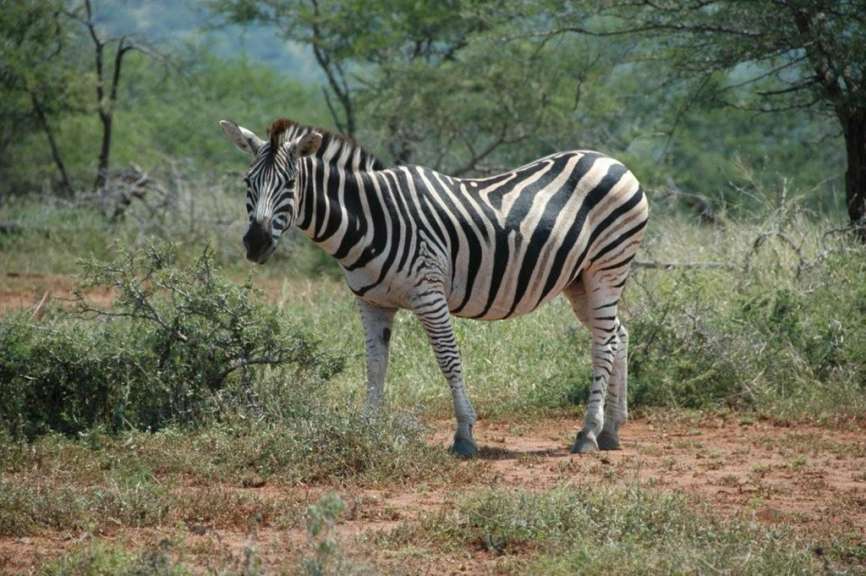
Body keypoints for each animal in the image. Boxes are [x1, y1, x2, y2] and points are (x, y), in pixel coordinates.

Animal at [219, 117, 649, 457]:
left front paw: (464, 435)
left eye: (290, 183)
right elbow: (375, 365)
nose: (255, 243)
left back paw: (588, 433)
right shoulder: (371, 302)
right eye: (247, 182)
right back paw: (612, 429)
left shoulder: (429, 294)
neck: (370, 220)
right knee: (619, 334)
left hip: (606, 267)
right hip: (578, 279)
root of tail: (612, 161)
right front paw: (367, 428)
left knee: (603, 343)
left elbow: (448, 360)